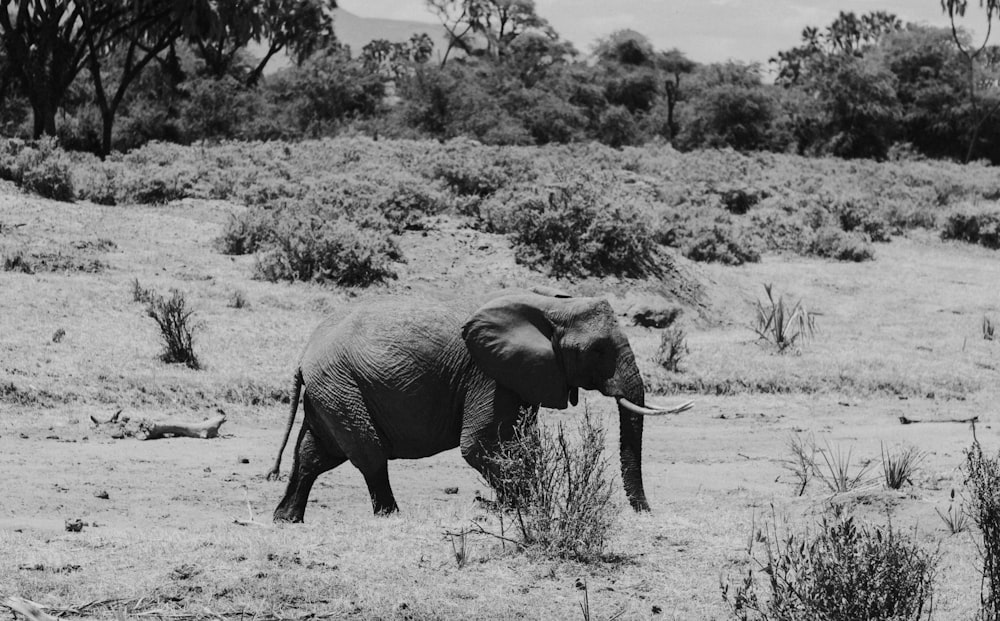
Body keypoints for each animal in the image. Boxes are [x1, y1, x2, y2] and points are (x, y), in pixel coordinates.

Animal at [266, 288, 696, 520]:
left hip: (331, 390)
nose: (647, 513)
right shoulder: (488, 376)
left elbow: (523, 445)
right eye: (598, 351)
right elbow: (480, 446)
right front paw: (521, 511)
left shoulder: (522, 376)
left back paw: (286, 520)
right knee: (369, 454)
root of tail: (303, 357)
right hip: (342, 386)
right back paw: (392, 516)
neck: (549, 305)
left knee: (313, 454)